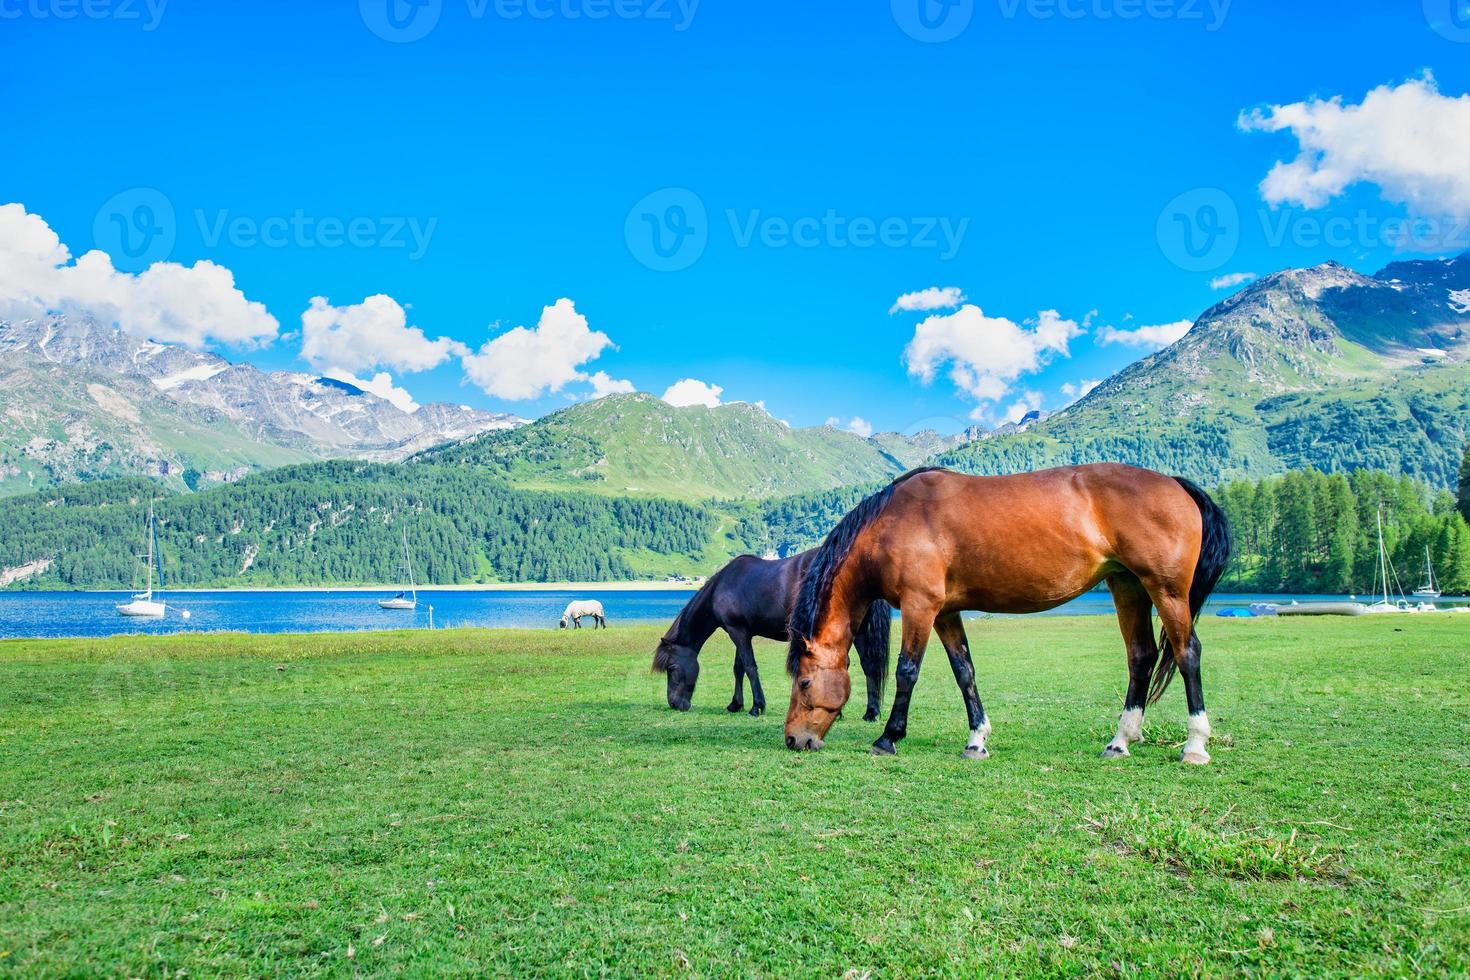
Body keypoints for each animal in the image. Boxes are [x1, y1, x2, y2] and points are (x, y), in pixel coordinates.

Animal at [658, 552, 893, 719]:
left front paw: (756, 707)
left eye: (671, 668)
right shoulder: (742, 632)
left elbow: (750, 667)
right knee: (868, 666)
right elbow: (739, 668)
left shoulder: (738, 632)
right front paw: (735, 704)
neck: (722, 585)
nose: (674, 704)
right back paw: (870, 712)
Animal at [782, 467, 1228, 764]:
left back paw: (1195, 745)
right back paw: (1120, 741)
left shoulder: (919, 606)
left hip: (1167, 592)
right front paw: (976, 740)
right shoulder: (946, 612)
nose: (792, 740)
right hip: (1128, 587)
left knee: (1188, 654)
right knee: (1141, 657)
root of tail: (1175, 483)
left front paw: (888, 737)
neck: (893, 521)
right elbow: (965, 673)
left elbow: (907, 670)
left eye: (803, 681)